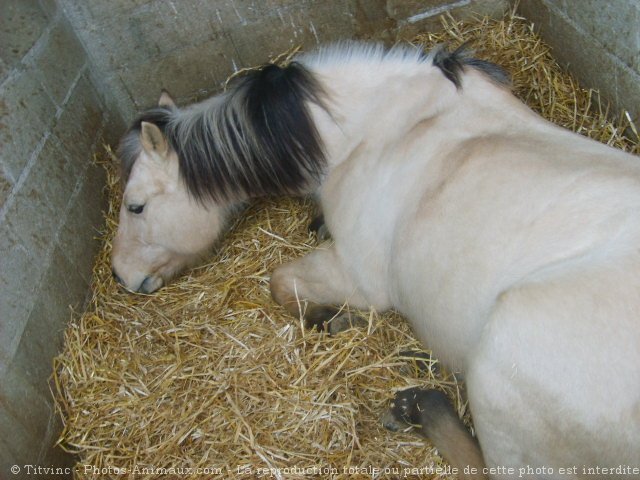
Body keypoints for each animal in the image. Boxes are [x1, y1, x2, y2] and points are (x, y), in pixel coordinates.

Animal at [114, 41, 640, 476]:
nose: (121, 276)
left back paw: (419, 406)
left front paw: (331, 319)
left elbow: (281, 283)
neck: (370, 132)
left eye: (136, 206)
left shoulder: (357, 274)